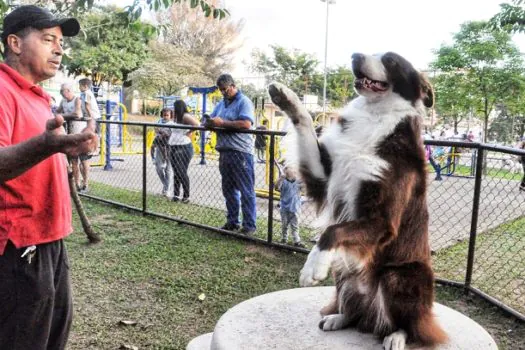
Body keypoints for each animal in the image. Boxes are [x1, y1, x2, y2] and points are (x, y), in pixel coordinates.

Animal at [270, 52, 446, 350]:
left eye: (390, 60)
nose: (355, 55)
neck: (375, 114)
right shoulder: (324, 175)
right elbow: (305, 124)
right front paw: (287, 98)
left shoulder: (383, 221)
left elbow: (332, 231)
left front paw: (313, 266)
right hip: (344, 270)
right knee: (357, 313)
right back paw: (339, 318)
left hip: (398, 276)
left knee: (411, 325)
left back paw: (396, 336)